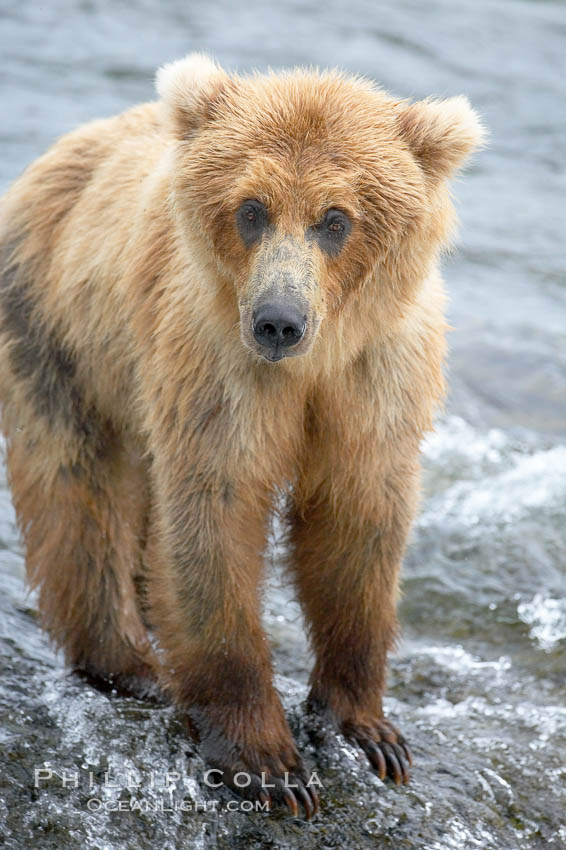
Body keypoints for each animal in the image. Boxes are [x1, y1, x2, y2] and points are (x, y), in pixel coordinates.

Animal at [0, 53, 484, 816]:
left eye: (335, 219)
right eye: (252, 209)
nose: (278, 321)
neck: (312, 366)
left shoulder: (374, 381)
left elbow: (358, 523)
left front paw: (368, 731)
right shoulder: (216, 364)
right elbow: (215, 517)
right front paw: (269, 764)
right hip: (61, 330)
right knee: (79, 489)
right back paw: (130, 664)